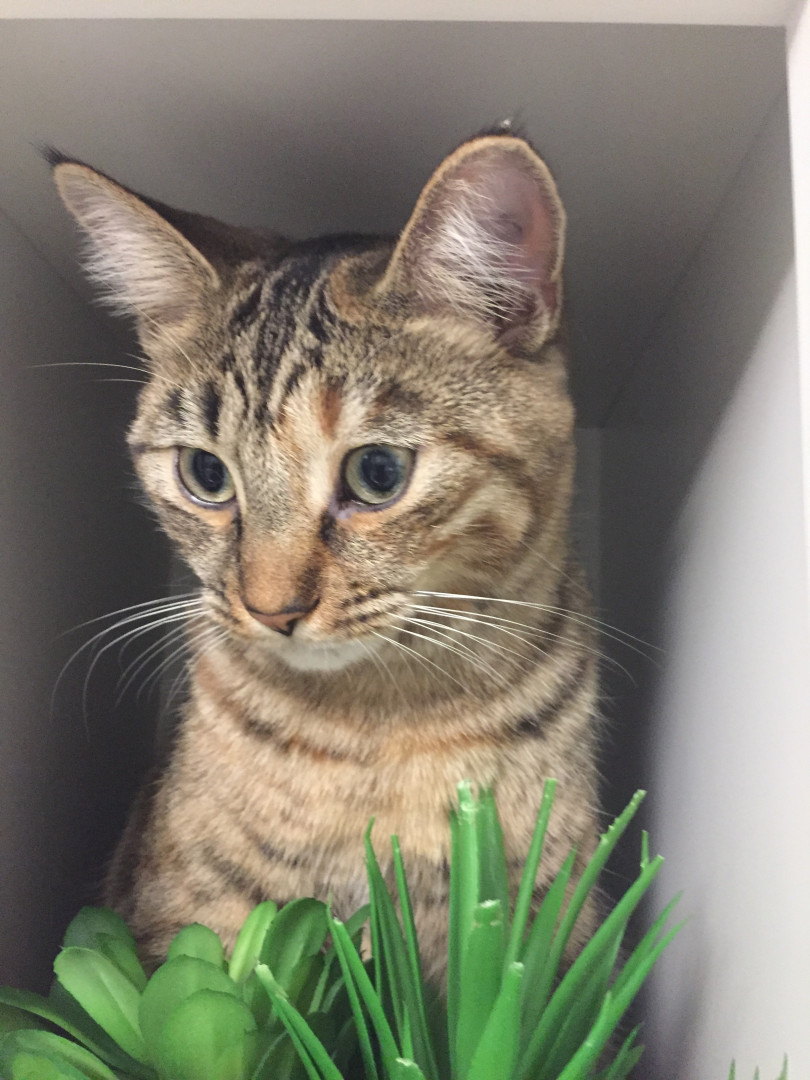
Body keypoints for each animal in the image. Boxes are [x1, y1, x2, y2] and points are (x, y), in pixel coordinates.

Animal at [49, 128, 601, 983]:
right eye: (205, 473)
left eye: (378, 473)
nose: (270, 607)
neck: (379, 727)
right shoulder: (193, 914)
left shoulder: (554, 922)